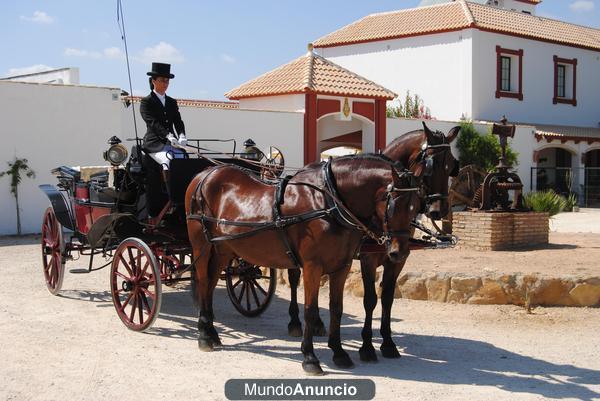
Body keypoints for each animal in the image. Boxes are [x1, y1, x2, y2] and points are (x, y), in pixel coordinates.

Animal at [185, 154, 420, 376]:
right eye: (393, 205)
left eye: (415, 206)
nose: (399, 252)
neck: (327, 202)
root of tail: (205, 173)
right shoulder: (312, 266)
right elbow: (310, 309)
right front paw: (310, 357)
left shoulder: (341, 267)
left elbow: (337, 308)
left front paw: (339, 352)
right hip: (201, 245)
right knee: (204, 281)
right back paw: (204, 335)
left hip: (223, 249)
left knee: (211, 283)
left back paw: (211, 332)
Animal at [286, 121, 460, 360]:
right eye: (430, 166)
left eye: (452, 166)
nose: (438, 210)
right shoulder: (368, 259)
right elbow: (370, 299)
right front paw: (367, 346)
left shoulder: (398, 258)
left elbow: (387, 297)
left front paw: (387, 342)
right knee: (295, 278)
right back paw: (295, 321)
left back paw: (319, 323)